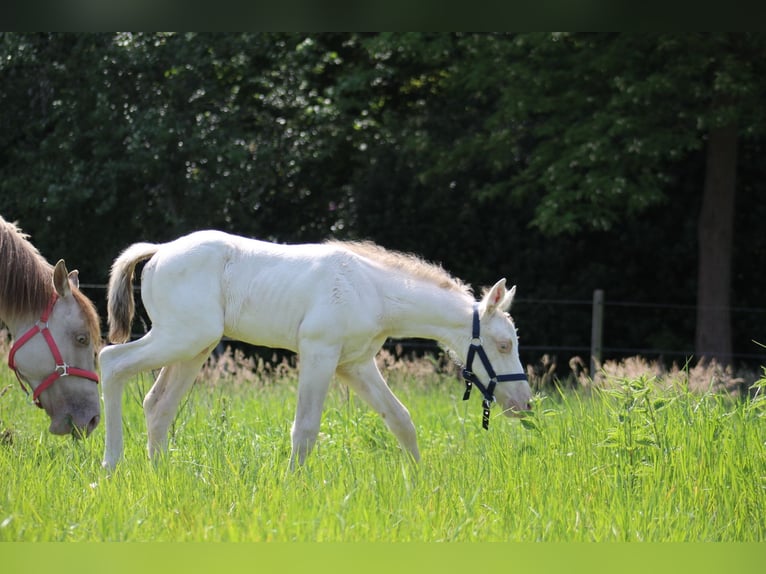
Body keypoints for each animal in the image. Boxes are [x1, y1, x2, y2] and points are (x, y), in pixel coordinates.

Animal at [100, 230, 532, 469]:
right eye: (504, 343)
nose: (524, 404)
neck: (372, 290)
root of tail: (160, 251)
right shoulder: (318, 354)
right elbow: (305, 429)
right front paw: (292, 486)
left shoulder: (356, 365)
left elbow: (401, 420)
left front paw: (421, 482)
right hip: (179, 338)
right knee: (111, 362)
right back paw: (110, 465)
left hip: (194, 348)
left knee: (158, 405)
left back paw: (161, 474)